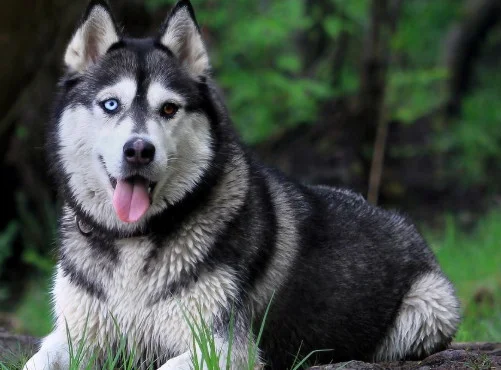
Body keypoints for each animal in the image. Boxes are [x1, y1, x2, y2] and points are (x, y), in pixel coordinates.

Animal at [25, 0, 458, 370]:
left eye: (169, 108)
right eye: (111, 104)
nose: (139, 151)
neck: (133, 240)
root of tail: (397, 218)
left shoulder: (224, 346)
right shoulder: (75, 334)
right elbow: (34, 361)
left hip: (430, 309)